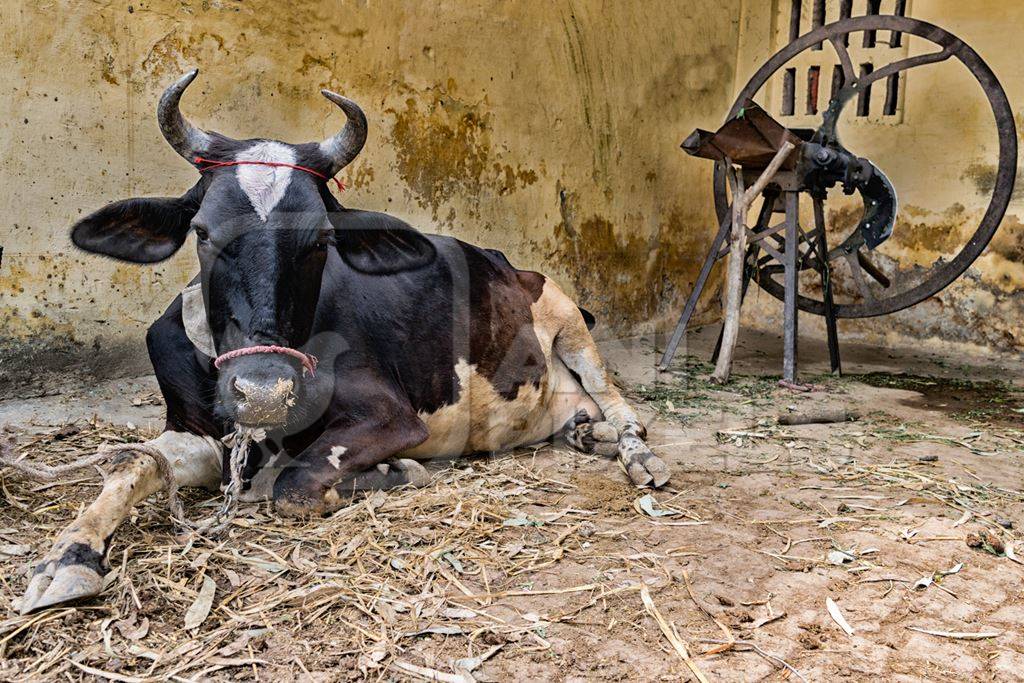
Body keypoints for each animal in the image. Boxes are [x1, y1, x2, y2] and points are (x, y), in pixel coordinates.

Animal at [22, 70, 671, 614]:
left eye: (321, 239)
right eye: (203, 232)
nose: (263, 391)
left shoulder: (389, 415)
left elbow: (291, 483)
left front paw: (396, 472)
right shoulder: (198, 430)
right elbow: (134, 461)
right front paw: (68, 556)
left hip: (569, 320)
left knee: (621, 405)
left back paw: (637, 455)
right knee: (585, 416)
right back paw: (588, 434)